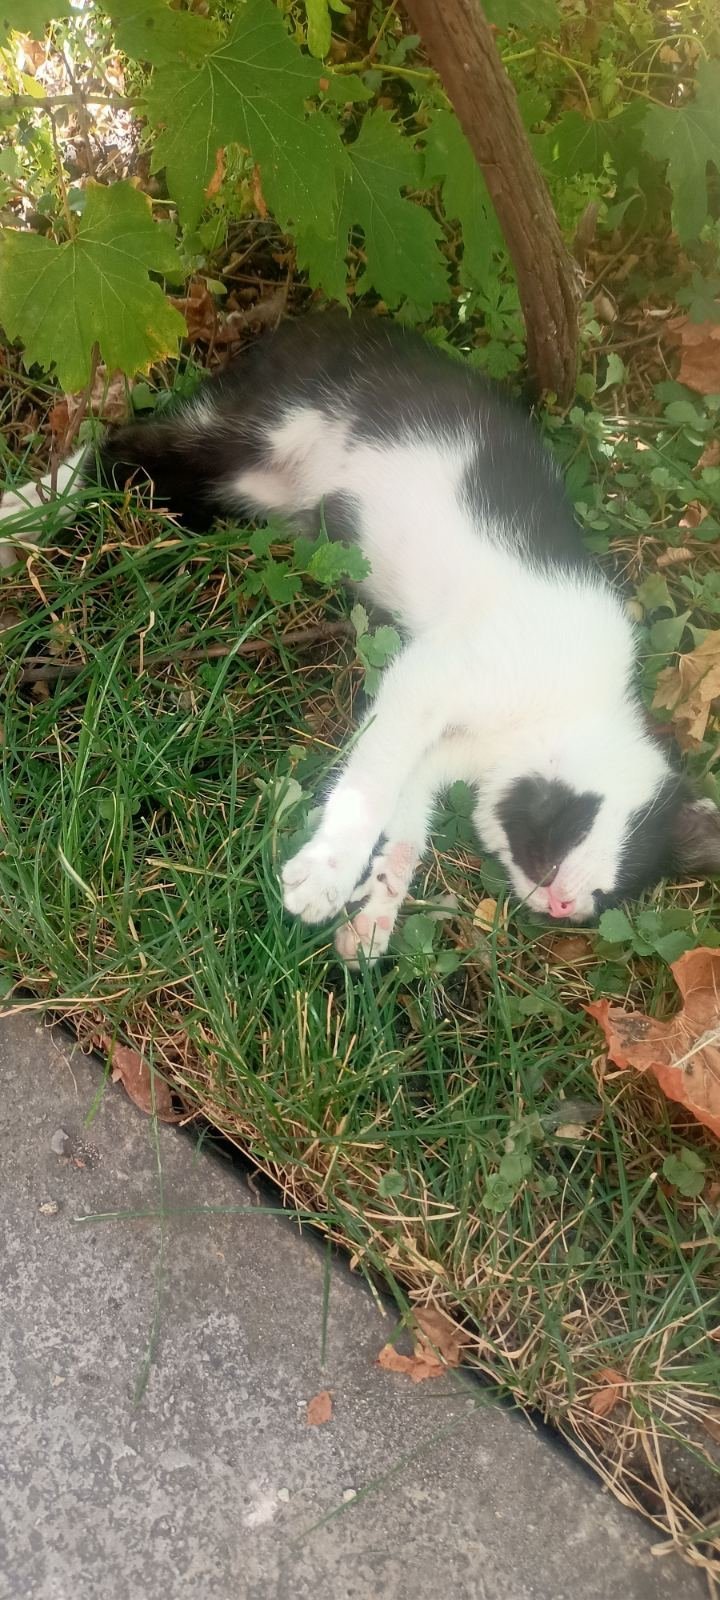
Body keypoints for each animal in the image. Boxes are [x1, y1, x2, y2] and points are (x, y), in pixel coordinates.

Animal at [2, 313, 718, 963]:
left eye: (614, 893)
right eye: (582, 823)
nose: (567, 905)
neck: (561, 709)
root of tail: (316, 320)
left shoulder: (450, 751)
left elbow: (407, 811)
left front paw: (372, 915)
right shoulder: (436, 674)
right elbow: (376, 776)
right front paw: (326, 876)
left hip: (258, 491)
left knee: (141, 470)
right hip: (273, 419)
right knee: (116, 443)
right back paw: (24, 517)